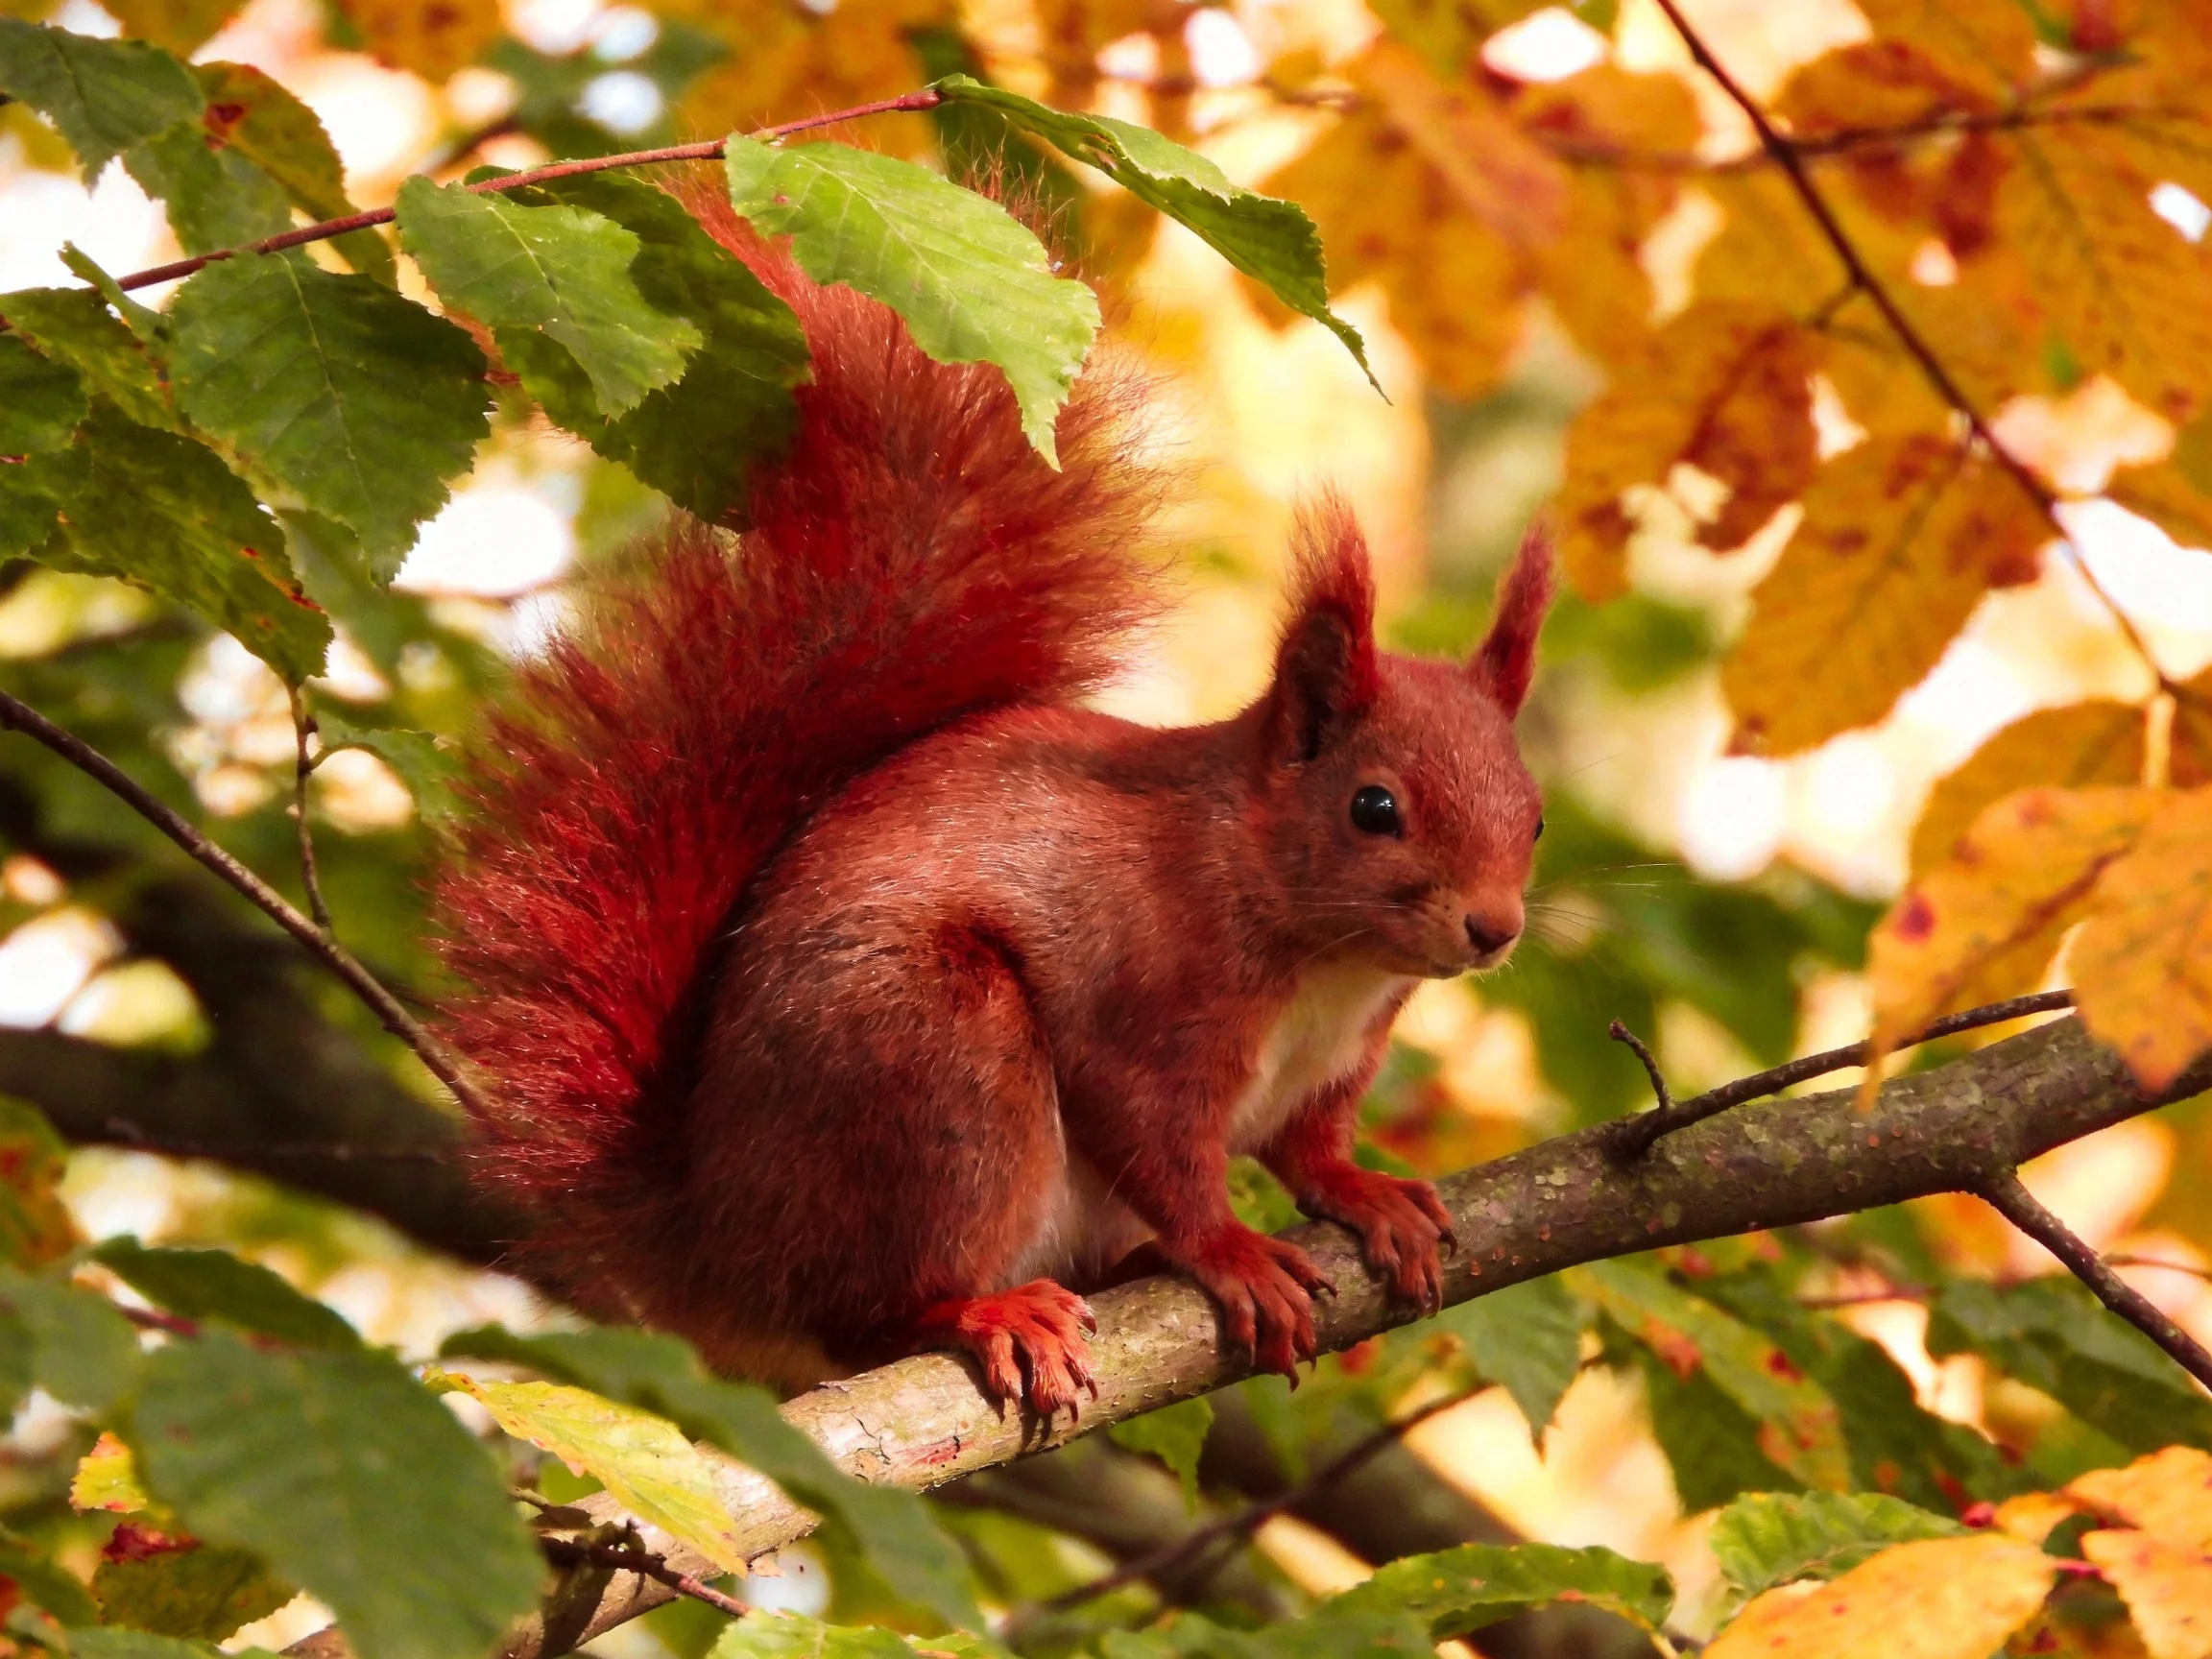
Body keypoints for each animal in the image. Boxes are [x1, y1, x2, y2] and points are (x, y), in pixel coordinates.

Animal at [434, 179, 1555, 1416]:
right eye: (1374, 809)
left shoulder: (1338, 1060)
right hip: (937, 1061)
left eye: (1536, 816)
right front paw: (1229, 1252)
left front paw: (1367, 1194)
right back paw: (984, 1309)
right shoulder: (1151, 994)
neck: (1318, 950)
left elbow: (1309, 1149)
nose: (1493, 929)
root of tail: (717, 1246)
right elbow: (1157, 1141)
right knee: (870, 1316)